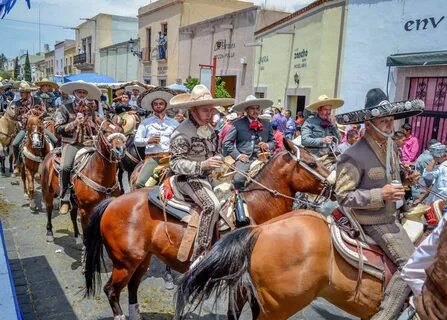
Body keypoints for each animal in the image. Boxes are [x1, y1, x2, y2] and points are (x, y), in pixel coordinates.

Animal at [84, 140, 334, 320]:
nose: (333, 185)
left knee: (133, 286)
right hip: (124, 262)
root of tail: (112, 203)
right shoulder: (239, 282)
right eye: (312, 163)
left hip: (142, 259)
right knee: (111, 290)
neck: (255, 210)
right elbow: (234, 313)